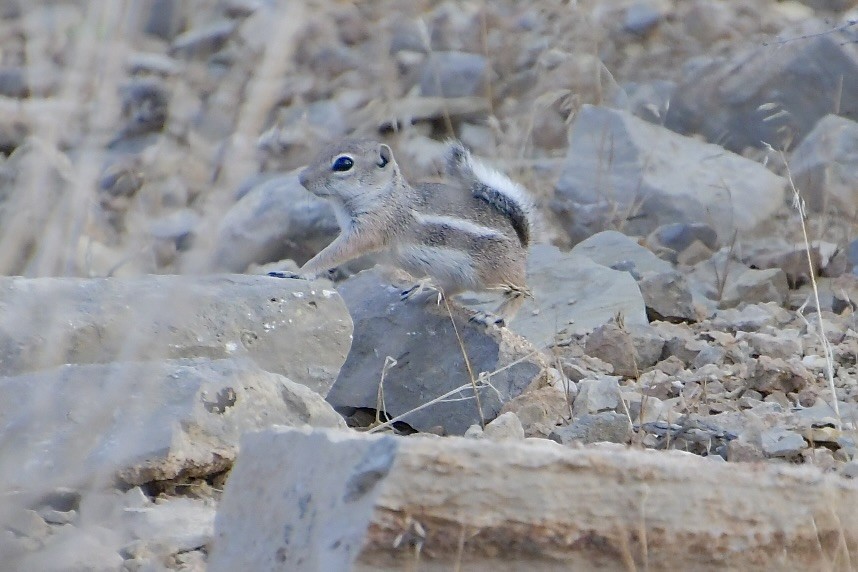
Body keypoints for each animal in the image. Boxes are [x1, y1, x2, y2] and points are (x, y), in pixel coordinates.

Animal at [272, 138, 537, 325]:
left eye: (344, 164)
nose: (302, 178)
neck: (384, 195)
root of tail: (521, 244)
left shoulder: (369, 230)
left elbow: (332, 253)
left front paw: (297, 273)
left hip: (491, 275)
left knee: (523, 292)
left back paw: (495, 316)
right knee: (457, 286)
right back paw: (428, 291)